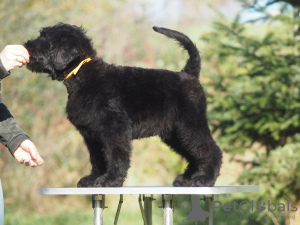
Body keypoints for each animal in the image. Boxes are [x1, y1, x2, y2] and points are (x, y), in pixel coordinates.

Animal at [24, 23, 223, 188]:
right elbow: (97, 159)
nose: (26, 45)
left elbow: (116, 156)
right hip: (174, 133)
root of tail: (189, 74)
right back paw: (187, 179)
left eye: (44, 39)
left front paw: (111, 180)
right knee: (193, 154)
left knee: (210, 150)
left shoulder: (114, 128)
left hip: (190, 125)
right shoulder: (91, 135)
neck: (81, 75)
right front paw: (93, 179)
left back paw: (204, 178)